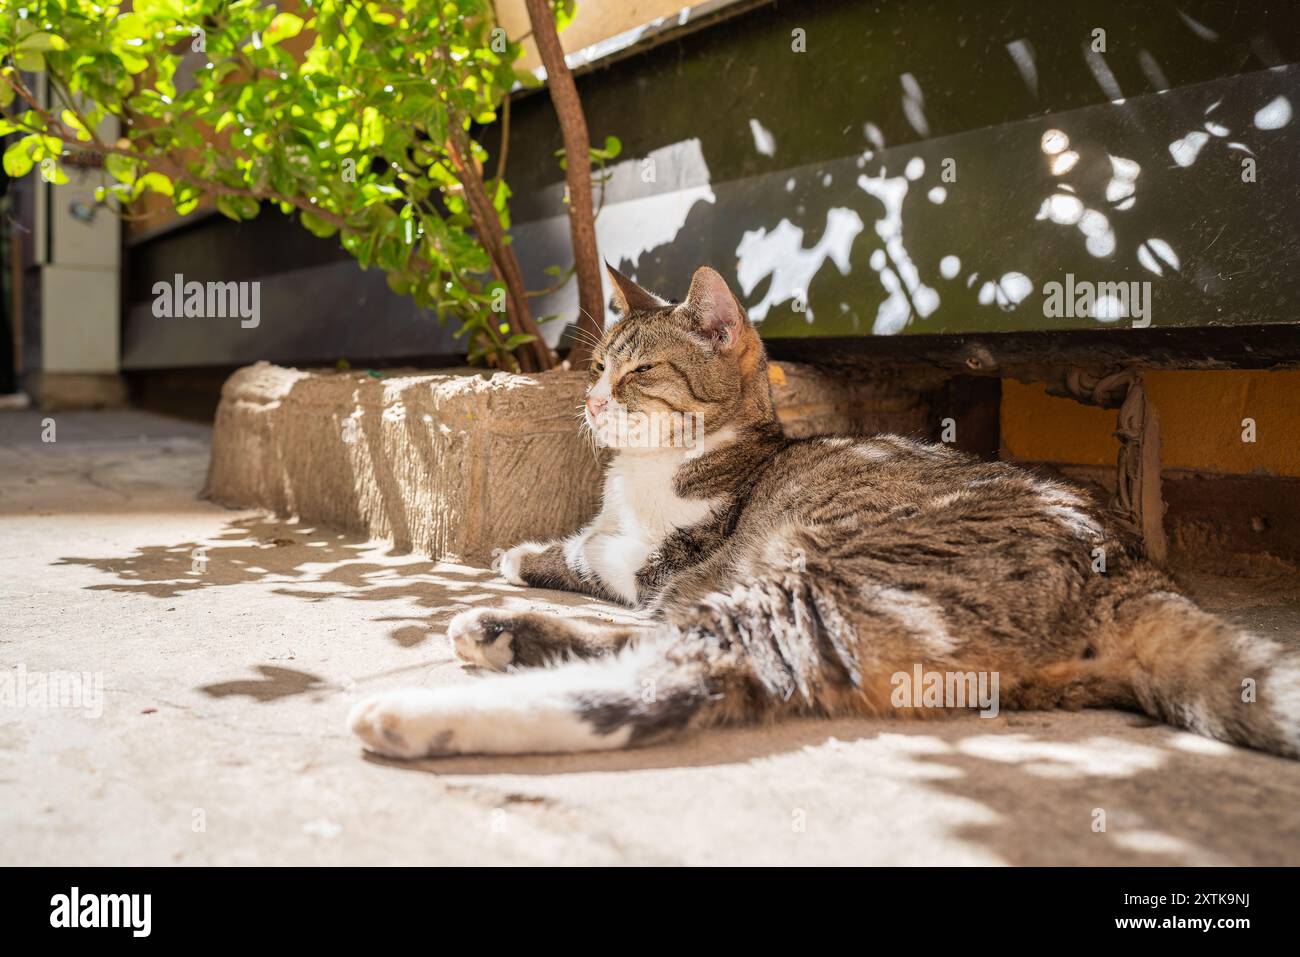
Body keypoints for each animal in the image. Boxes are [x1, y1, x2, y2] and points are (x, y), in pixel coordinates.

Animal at [348, 265, 1300, 759]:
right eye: (595, 368)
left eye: (639, 373)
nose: (587, 402)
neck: (644, 474)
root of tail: (1133, 570)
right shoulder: (647, 565)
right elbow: (583, 548)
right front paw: (527, 553)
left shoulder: (667, 559)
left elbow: (602, 556)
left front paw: (534, 555)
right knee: (660, 644)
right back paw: (495, 631)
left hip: (825, 586)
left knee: (685, 674)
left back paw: (419, 715)